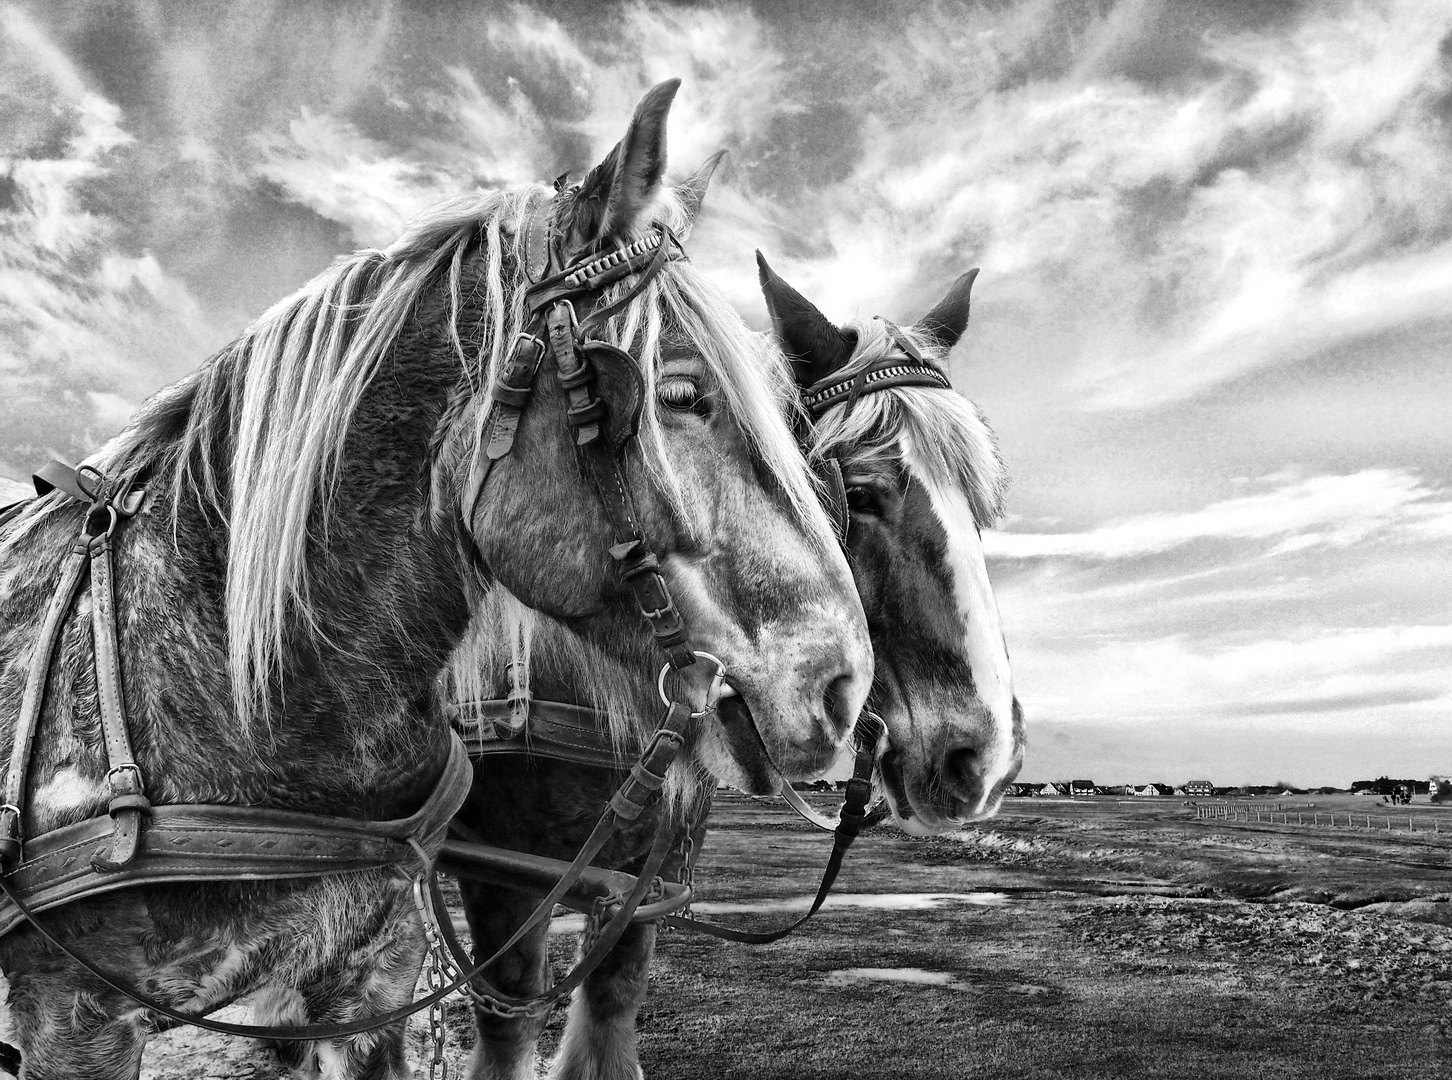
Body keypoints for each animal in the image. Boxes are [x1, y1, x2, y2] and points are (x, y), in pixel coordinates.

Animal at [447, 261, 1028, 1080]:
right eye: (858, 493)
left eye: (980, 504)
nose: (985, 757)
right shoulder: (498, 878)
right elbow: (505, 1025)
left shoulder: (649, 871)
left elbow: (612, 1010)